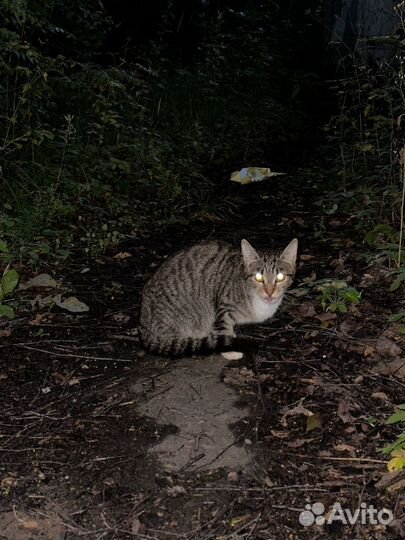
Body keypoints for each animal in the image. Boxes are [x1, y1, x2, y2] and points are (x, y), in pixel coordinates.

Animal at [139, 238, 296, 356]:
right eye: (258, 277)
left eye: (280, 277)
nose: (269, 292)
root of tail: (142, 324)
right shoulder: (224, 308)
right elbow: (224, 328)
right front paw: (230, 348)